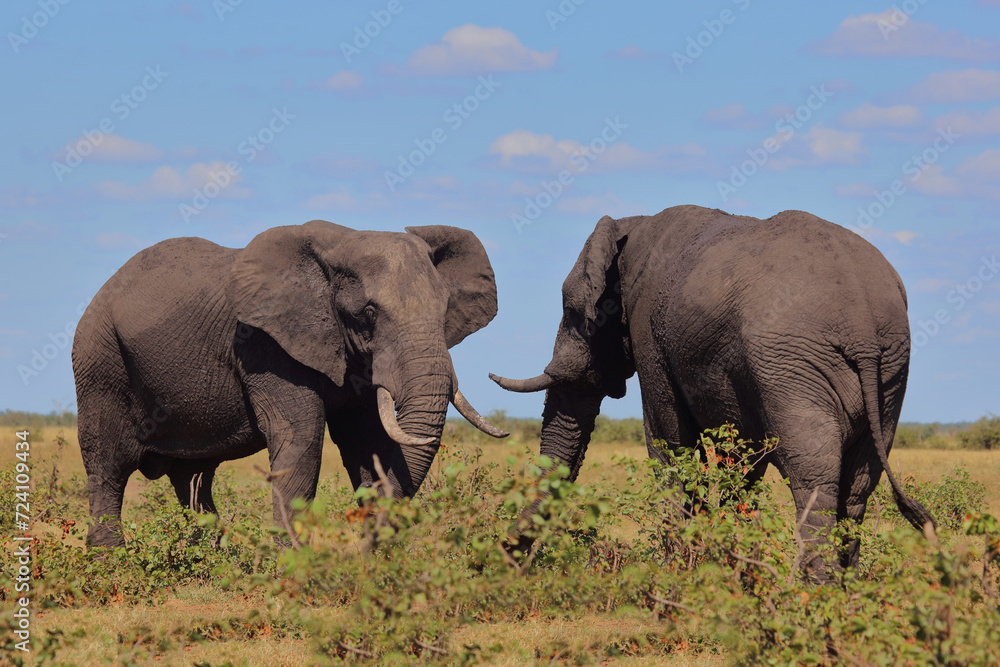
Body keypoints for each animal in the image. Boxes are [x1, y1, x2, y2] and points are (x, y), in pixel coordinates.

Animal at [73, 221, 508, 548]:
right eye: (368, 312)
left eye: (445, 309)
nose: (365, 539)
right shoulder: (265, 344)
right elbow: (302, 435)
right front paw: (292, 564)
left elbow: (365, 440)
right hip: (99, 361)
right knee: (108, 467)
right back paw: (111, 564)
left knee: (192, 478)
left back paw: (207, 558)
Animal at [492, 205, 934, 579]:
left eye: (571, 312)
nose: (505, 558)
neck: (631, 225)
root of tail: (861, 323)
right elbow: (744, 461)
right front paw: (731, 567)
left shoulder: (649, 330)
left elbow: (669, 441)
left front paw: (679, 570)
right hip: (890, 371)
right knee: (859, 483)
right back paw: (847, 589)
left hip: (794, 364)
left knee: (813, 474)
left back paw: (812, 590)